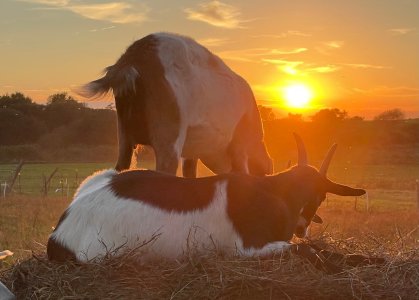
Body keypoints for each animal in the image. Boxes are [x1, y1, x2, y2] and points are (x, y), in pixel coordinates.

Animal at [47, 134, 366, 262]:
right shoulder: (246, 249)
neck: (274, 192)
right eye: (319, 196)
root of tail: (61, 231)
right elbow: (306, 250)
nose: (302, 227)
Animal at [80, 32, 274, 178]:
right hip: (170, 130)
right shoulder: (240, 141)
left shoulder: (191, 153)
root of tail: (132, 60)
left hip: (123, 133)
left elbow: (190, 173)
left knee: (120, 167)